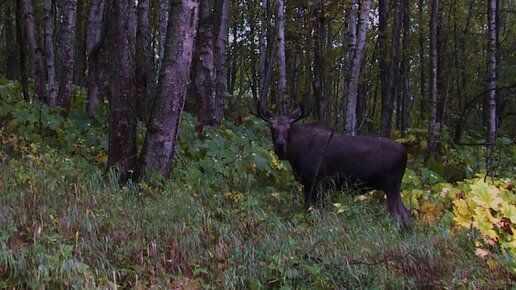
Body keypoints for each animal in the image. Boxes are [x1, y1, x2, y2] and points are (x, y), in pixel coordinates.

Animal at [258, 105, 412, 225]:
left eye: (289, 128)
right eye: (272, 127)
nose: (280, 146)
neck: (295, 156)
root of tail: (405, 154)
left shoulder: (319, 181)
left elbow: (316, 209)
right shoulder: (307, 183)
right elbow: (307, 208)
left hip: (391, 184)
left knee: (398, 215)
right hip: (394, 186)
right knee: (406, 214)